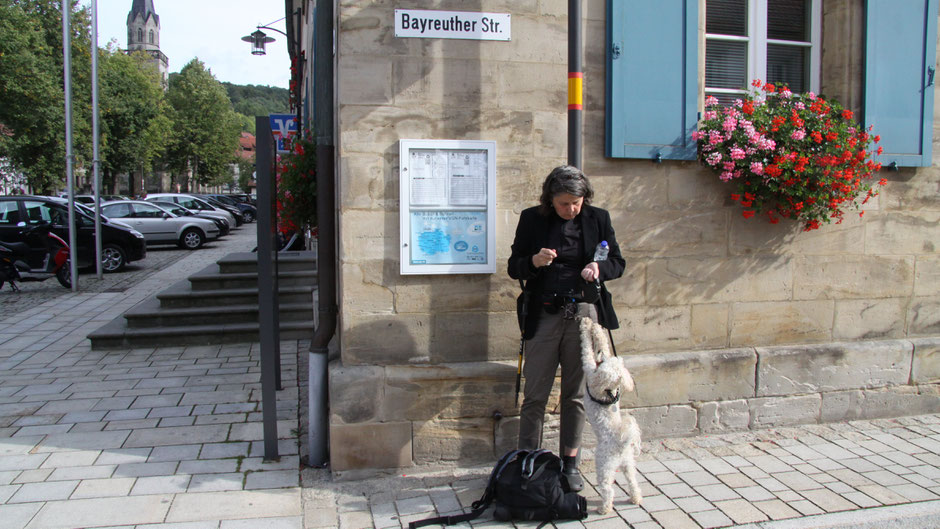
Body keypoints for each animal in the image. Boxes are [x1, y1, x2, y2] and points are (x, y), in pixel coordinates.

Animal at [576, 314, 644, 512]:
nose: (604, 360)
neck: (608, 391)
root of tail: (621, 445)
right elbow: (603, 343)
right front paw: (596, 329)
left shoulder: (589, 369)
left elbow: (586, 351)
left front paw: (586, 325)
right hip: (628, 464)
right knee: (633, 482)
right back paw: (635, 498)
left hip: (604, 465)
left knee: (608, 489)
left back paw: (604, 508)